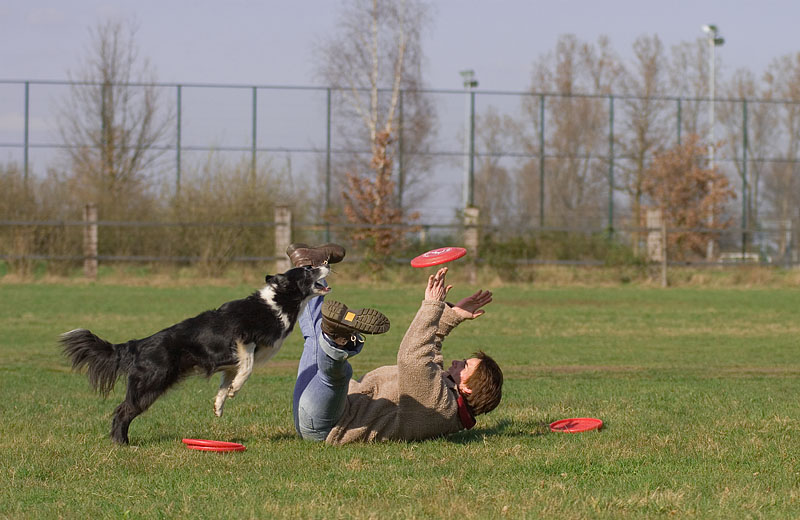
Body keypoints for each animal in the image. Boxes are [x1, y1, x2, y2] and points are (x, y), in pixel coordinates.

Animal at [58, 266, 328, 444]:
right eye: (308, 270)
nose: (325, 263)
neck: (277, 303)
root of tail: (137, 345)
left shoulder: (232, 361)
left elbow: (227, 380)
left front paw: (219, 404)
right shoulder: (242, 339)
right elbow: (248, 366)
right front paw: (236, 389)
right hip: (150, 384)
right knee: (122, 411)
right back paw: (122, 444)